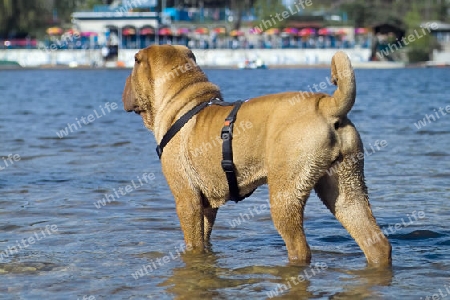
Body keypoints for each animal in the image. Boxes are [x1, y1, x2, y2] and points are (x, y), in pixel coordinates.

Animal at [121, 44, 392, 264]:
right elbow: (205, 239)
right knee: (376, 242)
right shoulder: (206, 205)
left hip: (286, 194)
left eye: (133, 62)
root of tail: (328, 105)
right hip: (346, 188)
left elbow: (194, 245)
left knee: (300, 249)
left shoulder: (186, 199)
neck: (183, 103)